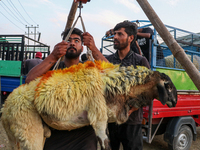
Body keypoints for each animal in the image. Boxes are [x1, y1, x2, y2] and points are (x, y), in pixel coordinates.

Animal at [1, 60, 177, 149]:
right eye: (167, 85)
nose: (175, 101)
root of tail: (6, 108)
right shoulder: (98, 116)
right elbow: (105, 144)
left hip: (17, 137)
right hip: (28, 129)